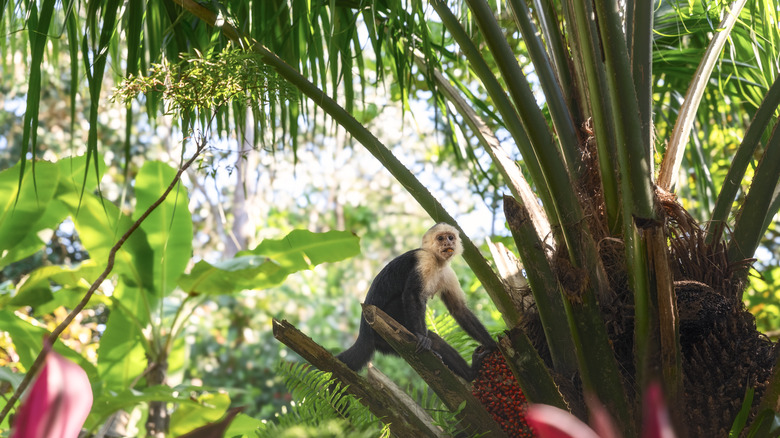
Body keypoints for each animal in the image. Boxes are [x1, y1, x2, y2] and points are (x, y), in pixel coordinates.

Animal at [336, 222, 496, 380]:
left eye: (451, 237)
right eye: (440, 238)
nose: (448, 243)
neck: (437, 261)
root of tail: (364, 333)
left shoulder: (448, 273)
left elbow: (458, 309)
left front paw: (492, 344)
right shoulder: (424, 260)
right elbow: (412, 294)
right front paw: (421, 337)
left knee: (435, 339)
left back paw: (470, 373)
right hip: (386, 323)